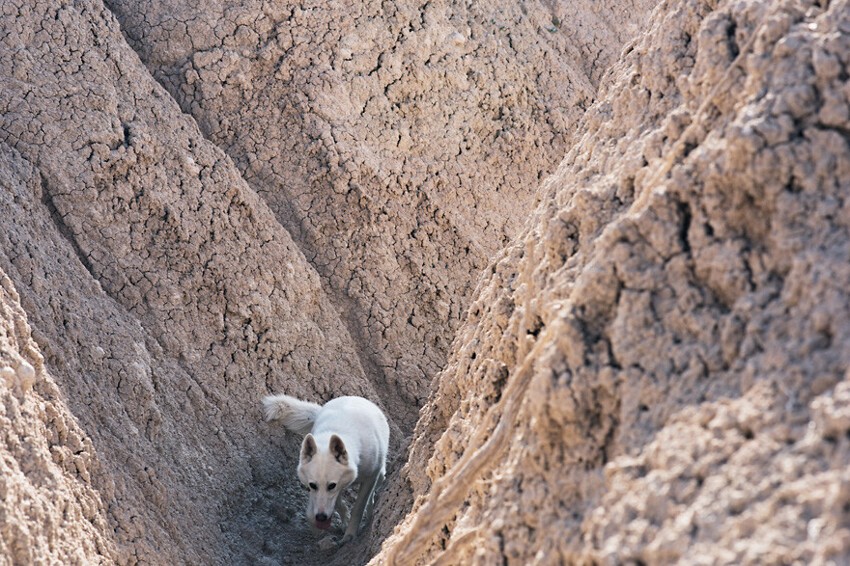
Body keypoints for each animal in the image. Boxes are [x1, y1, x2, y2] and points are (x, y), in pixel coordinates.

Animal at [260, 394, 390, 552]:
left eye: (331, 486)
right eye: (312, 485)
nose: (321, 517)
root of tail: (353, 396)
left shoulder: (369, 479)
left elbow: (358, 508)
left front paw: (350, 535)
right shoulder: (327, 490)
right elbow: (333, 506)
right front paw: (327, 526)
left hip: (380, 475)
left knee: (373, 493)